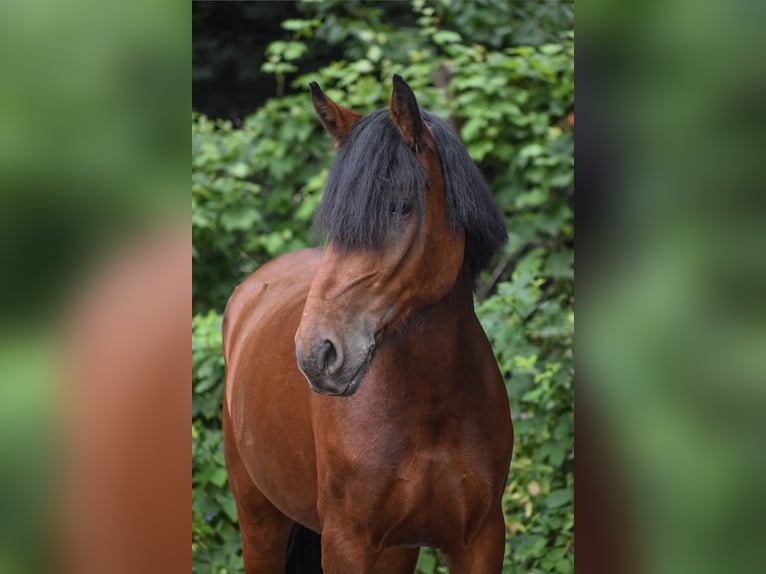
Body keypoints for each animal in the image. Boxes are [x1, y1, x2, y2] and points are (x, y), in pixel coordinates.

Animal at [222, 75, 514, 573]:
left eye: (400, 207)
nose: (317, 353)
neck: (433, 407)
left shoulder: (481, 541)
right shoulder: (345, 544)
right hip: (258, 519)